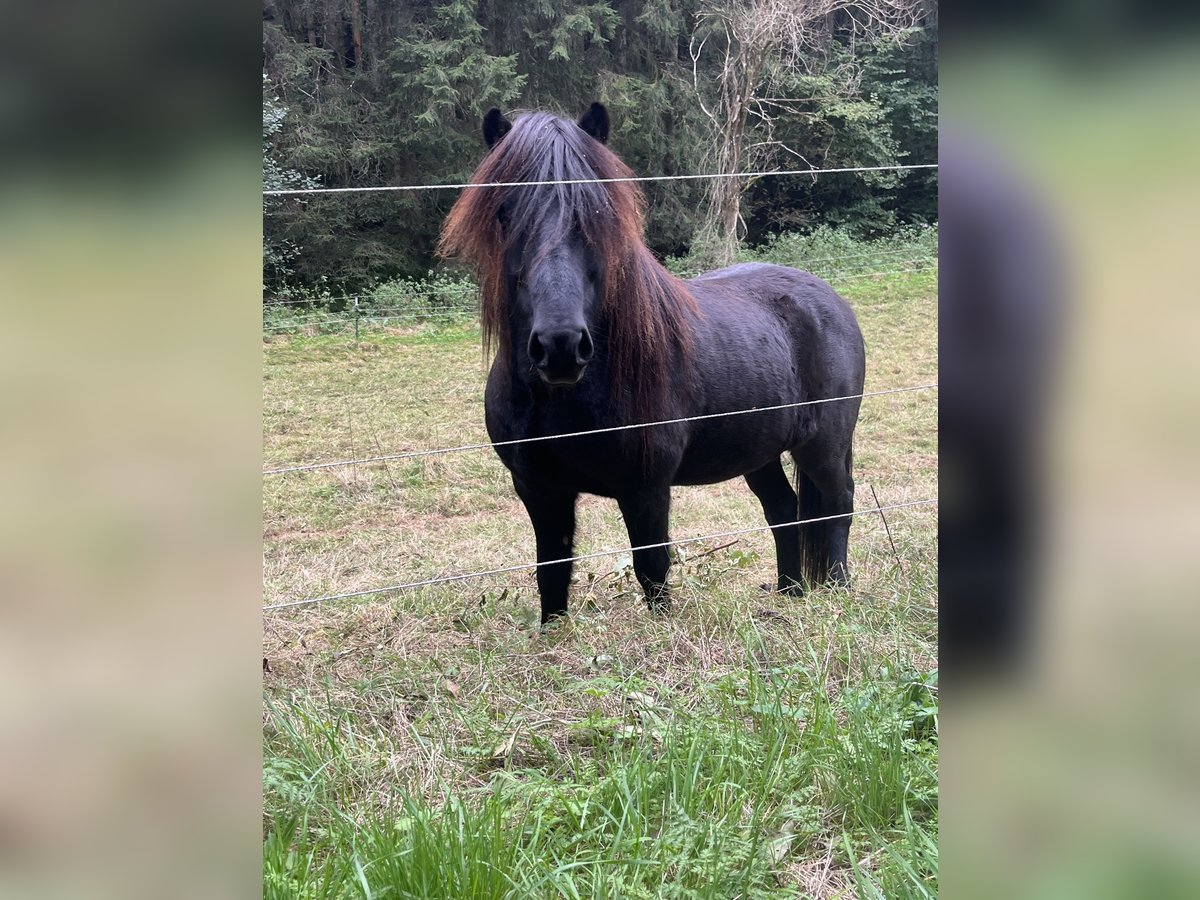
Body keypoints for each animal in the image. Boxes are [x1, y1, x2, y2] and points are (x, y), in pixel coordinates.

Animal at [441, 105, 864, 624]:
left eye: (598, 213)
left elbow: (652, 570)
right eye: (504, 212)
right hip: (760, 450)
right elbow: (552, 572)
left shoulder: (646, 488)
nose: (560, 346)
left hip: (824, 446)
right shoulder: (539, 489)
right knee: (784, 511)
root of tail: (828, 296)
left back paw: (837, 590)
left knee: (837, 505)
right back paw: (789, 593)